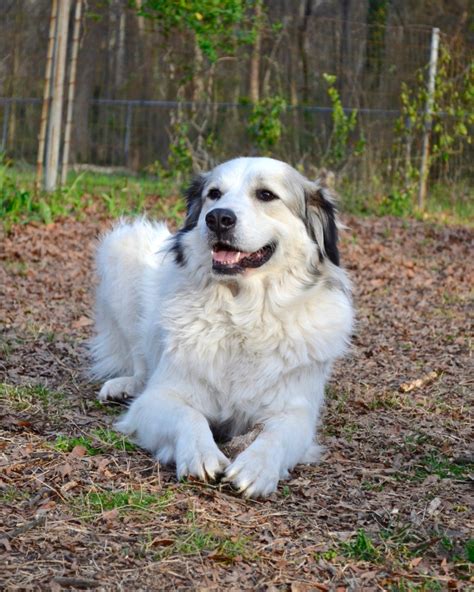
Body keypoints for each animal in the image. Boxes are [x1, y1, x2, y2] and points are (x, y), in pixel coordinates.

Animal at [90, 156, 354, 494]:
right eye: (214, 194)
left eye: (266, 195)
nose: (217, 218)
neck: (242, 313)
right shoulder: (157, 400)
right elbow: (189, 415)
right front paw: (199, 454)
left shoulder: (296, 413)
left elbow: (275, 435)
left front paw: (257, 466)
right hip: (120, 251)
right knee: (139, 362)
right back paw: (124, 386)